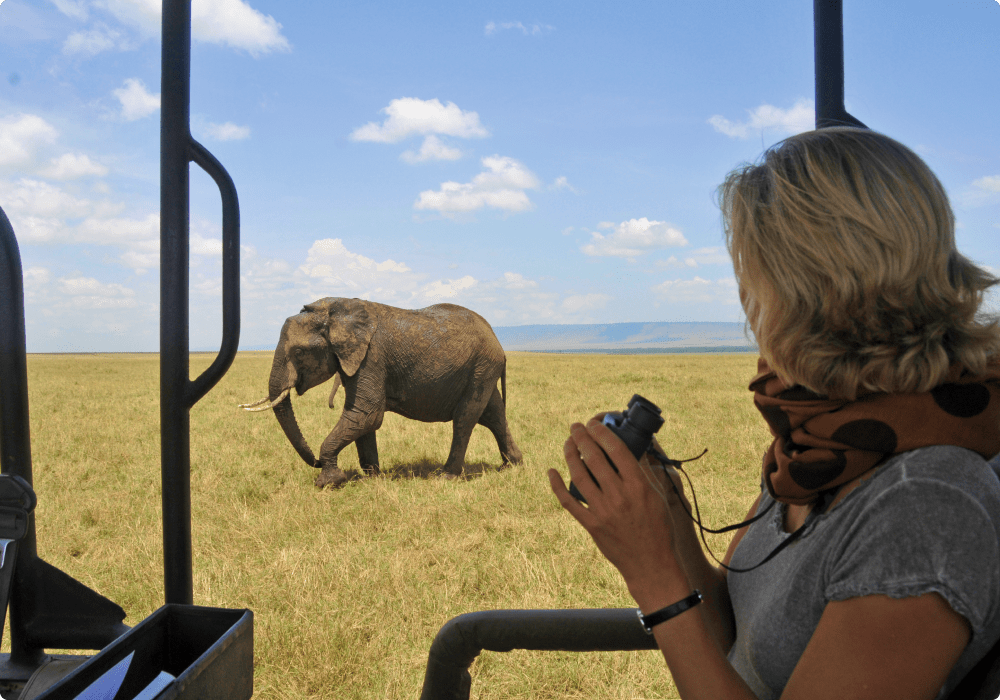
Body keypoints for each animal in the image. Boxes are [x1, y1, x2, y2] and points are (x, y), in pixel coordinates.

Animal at [241, 297, 523, 488]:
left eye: (299, 352)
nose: (315, 462)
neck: (334, 312)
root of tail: (498, 341)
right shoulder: (355, 360)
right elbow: (362, 419)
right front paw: (373, 478)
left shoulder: (371, 356)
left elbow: (367, 414)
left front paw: (328, 483)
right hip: (483, 370)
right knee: (494, 415)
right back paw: (512, 466)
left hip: (481, 367)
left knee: (465, 419)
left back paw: (446, 477)